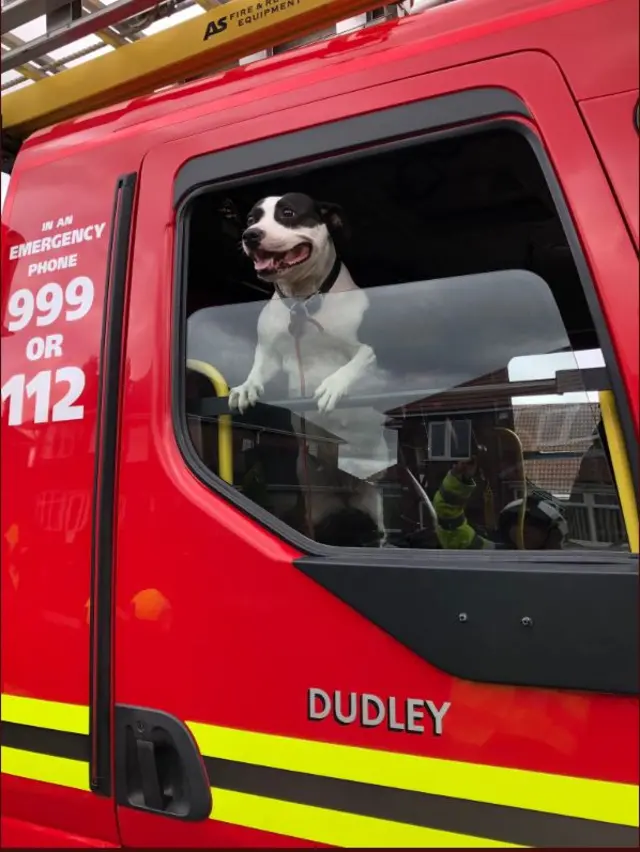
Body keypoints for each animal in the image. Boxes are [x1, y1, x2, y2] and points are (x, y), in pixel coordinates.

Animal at [230, 193, 390, 544]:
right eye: (251, 219)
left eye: (288, 213)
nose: (251, 236)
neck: (303, 300)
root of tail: (343, 488)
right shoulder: (270, 352)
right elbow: (258, 368)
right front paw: (246, 387)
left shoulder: (370, 352)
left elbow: (355, 362)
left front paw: (332, 386)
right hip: (313, 504)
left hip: (377, 498)